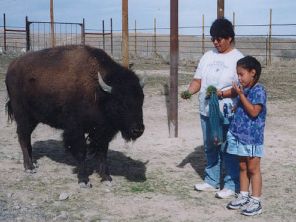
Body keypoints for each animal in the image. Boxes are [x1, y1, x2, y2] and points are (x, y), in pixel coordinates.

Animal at [5, 45, 145, 187]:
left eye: (141, 100)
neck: (99, 91)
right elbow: (81, 152)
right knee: (23, 137)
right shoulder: (76, 129)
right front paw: (84, 180)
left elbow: (102, 152)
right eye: (120, 102)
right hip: (23, 115)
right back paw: (29, 167)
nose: (138, 130)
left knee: (26, 138)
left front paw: (107, 178)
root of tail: (12, 67)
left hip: (33, 118)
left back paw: (33, 163)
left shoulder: (102, 132)